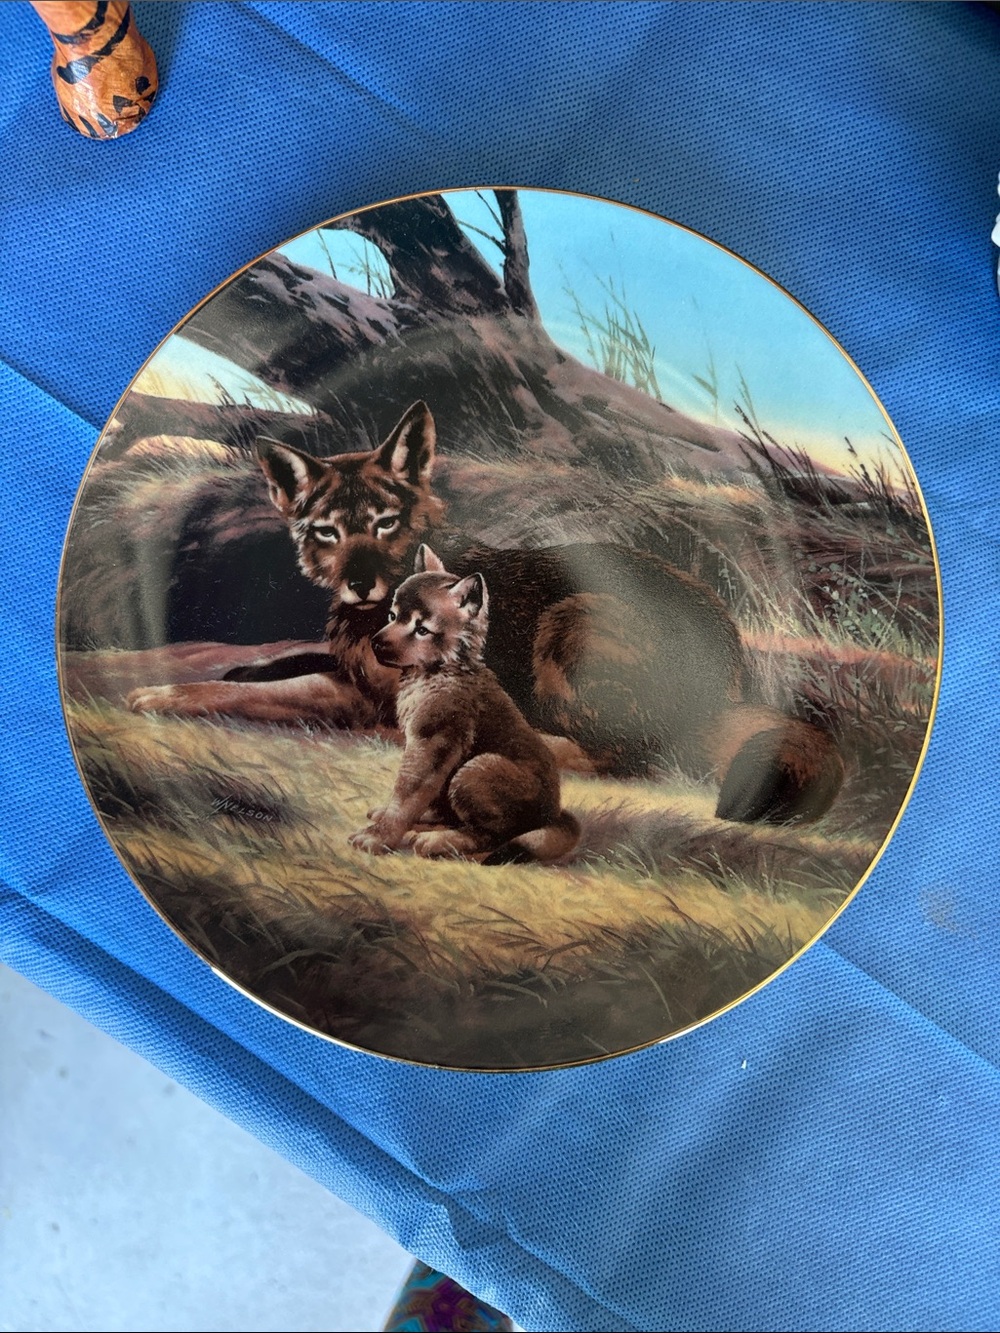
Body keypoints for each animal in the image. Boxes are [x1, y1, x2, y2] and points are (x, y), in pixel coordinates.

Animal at [128, 400, 844, 823]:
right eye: (327, 532)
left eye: (385, 523)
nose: (360, 584)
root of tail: (732, 678)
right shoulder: (349, 671)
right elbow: (278, 666)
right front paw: (231, 670)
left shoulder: (361, 697)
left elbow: (257, 692)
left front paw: (165, 694)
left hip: (572, 623)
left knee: (627, 757)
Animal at [349, 547, 580, 862]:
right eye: (393, 616)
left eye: (422, 630)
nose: (376, 644)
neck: (441, 671)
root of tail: (553, 815)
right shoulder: (420, 747)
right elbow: (411, 794)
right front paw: (387, 821)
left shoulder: (432, 741)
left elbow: (406, 795)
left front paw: (379, 837)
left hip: (475, 770)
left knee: (489, 835)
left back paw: (440, 840)